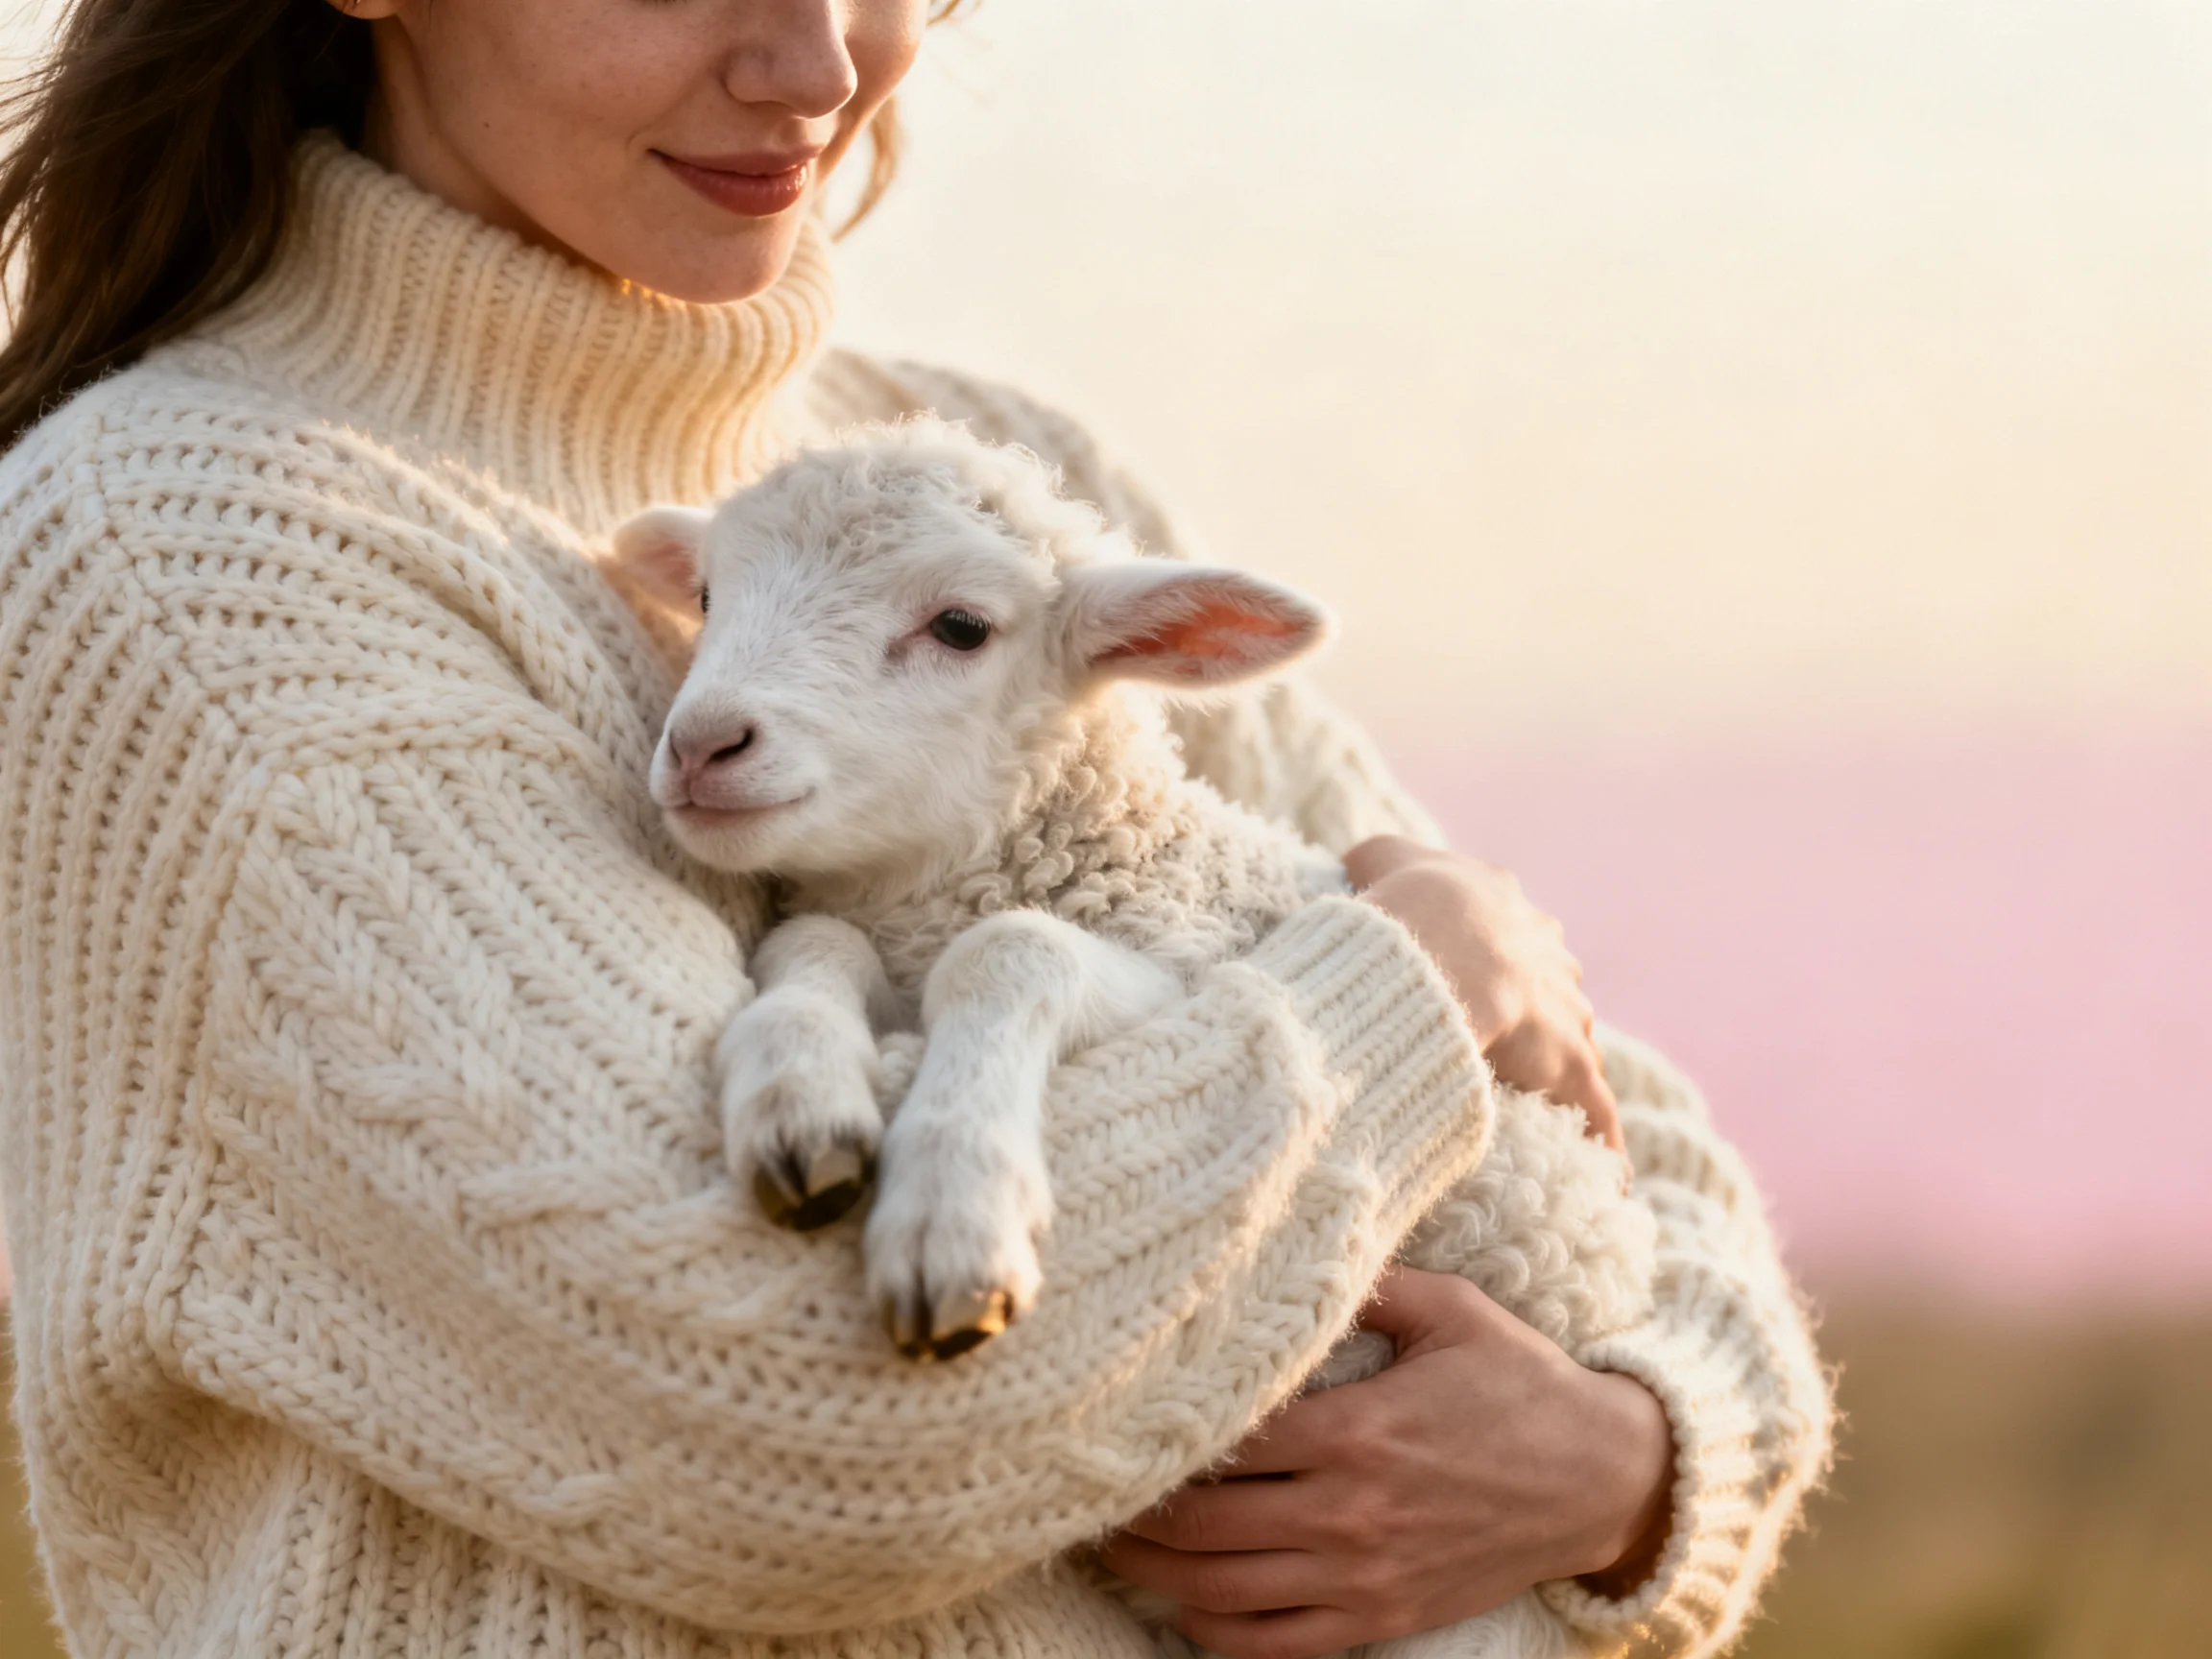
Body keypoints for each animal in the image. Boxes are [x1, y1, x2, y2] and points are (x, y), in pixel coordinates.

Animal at [611, 420, 1655, 1656]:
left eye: (960, 626)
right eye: (708, 594)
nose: (703, 745)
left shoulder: (1203, 972)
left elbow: (1013, 948)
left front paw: (954, 1208)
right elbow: (814, 940)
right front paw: (799, 1099)